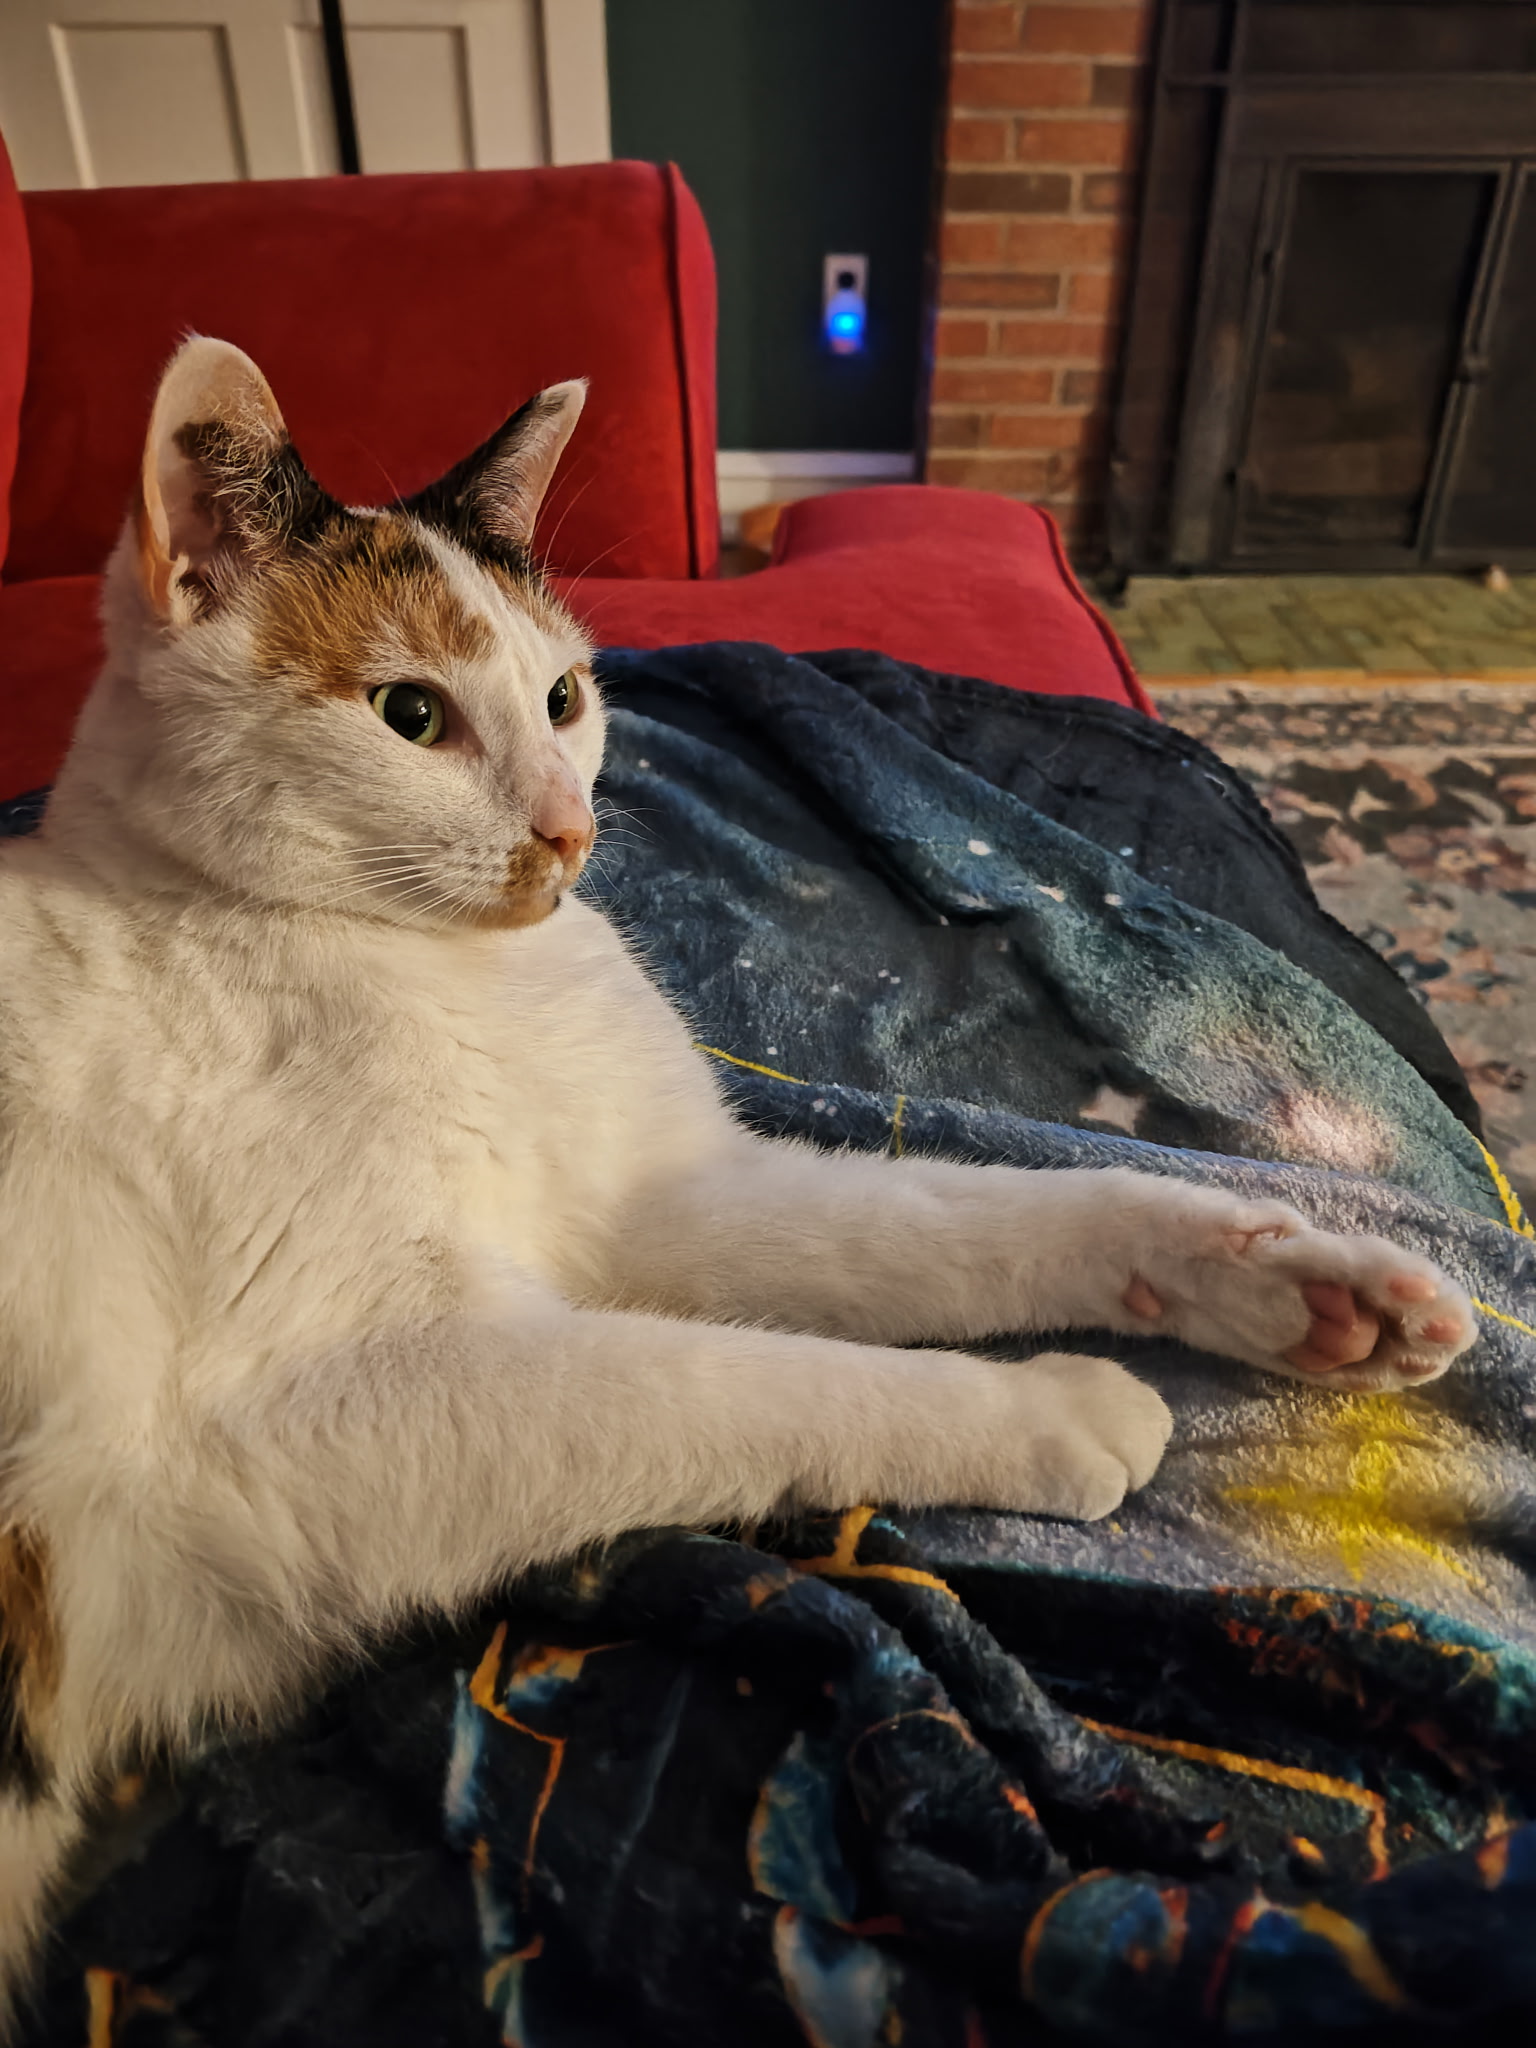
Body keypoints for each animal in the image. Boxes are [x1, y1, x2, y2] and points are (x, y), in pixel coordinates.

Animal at [0, 336, 1476, 2021]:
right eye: (407, 713)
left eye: (566, 697)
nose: (568, 831)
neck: (449, 981)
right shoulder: (307, 1427)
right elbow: (747, 1382)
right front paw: (1053, 1410)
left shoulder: (663, 1196)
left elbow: (988, 1218)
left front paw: (1311, 1287)